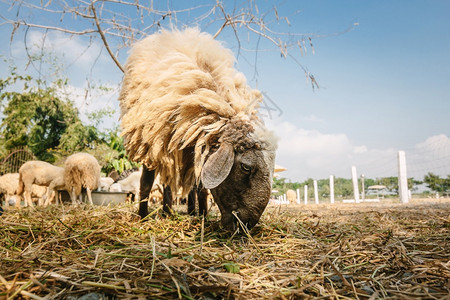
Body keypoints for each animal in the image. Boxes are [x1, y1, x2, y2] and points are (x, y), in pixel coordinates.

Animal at [118, 27, 276, 230]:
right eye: (246, 167)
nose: (246, 225)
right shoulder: (151, 141)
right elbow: (146, 183)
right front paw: (143, 217)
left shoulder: (202, 147)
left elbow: (201, 188)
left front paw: (202, 215)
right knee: (167, 181)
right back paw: (167, 212)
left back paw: (189, 211)